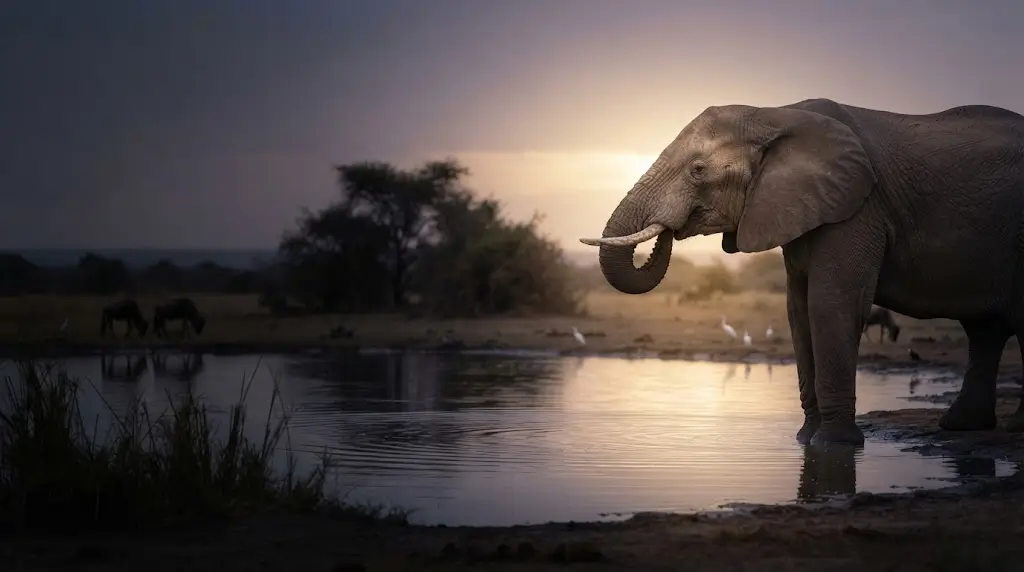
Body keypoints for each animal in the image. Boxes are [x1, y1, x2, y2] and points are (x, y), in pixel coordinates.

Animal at [580, 98, 1024, 446]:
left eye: (699, 171)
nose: (670, 229)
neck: (773, 115)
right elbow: (798, 311)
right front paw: (804, 441)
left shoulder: (858, 207)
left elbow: (830, 306)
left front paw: (835, 446)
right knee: (984, 332)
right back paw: (960, 427)